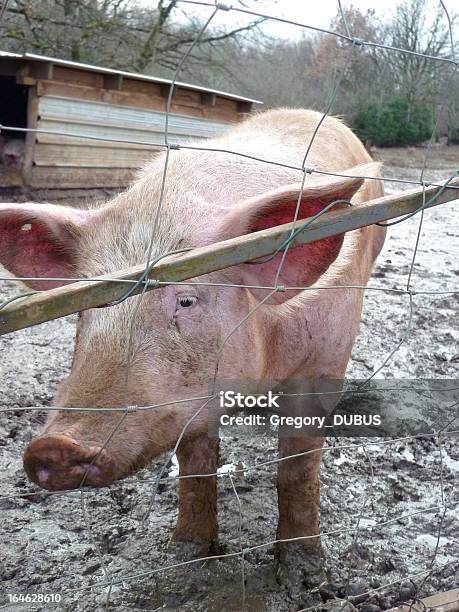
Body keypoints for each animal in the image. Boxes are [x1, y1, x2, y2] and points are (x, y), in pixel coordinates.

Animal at [0, 109, 384, 588]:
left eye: (186, 300)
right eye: (87, 306)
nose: (53, 446)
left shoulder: (323, 364)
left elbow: (298, 468)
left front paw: (304, 577)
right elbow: (196, 463)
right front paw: (188, 555)